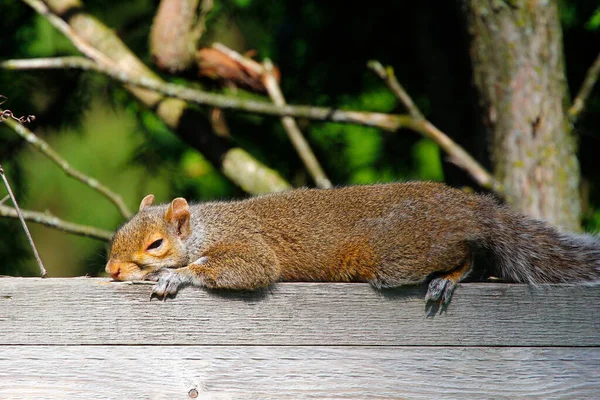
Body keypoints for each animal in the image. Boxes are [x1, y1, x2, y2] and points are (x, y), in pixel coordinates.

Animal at [105, 182, 600, 306]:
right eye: (116, 235)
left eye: (155, 244)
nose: (111, 270)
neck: (206, 229)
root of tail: (469, 204)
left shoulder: (248, 245)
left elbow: (252, 268)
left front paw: (175, 276)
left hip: (396, 254)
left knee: (470, 255)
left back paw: (448, 279)